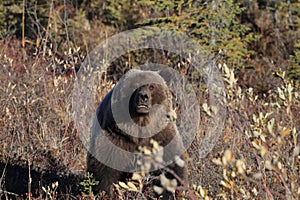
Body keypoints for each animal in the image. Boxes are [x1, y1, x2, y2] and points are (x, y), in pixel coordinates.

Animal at [85, 69, 186, 198]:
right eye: (134, 85)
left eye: (151, 86)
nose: (143, 96)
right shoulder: (114, 136)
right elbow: (104, 167)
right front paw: (106, 192)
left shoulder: (161, 137)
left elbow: (171, 167)